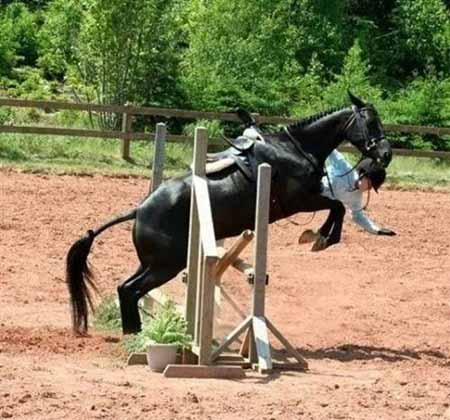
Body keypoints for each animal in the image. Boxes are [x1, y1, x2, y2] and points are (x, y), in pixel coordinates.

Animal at [66, 92, 390, 334]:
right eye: (371, 122)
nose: (386, 154)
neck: (297, 149)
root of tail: (139, 210)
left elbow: (337, 206)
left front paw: (317, 236)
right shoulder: (299, 200)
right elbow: (337, 207)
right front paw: (320, 238)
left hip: (155, 262)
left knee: (126, 288)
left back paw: (134, 333)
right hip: (165, 264)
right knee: (131, 290)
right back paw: (137, 335)